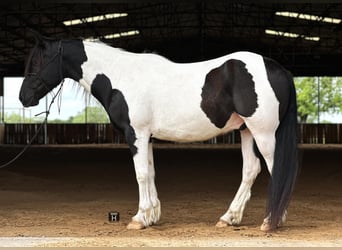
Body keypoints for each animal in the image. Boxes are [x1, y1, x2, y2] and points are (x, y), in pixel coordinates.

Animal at [18, 33, 298, 232]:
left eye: (40, 61)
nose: (24, 97)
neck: (121, 76)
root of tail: (277, 68)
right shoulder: (148, 137)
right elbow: (150, 173)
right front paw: (152, 216)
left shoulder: (136, 134)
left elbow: (141, 174)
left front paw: (139, 218)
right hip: (246, 131)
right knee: (251, 170)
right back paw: (229, 218)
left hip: (263, 133)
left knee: (276, 169)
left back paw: (271, 221)